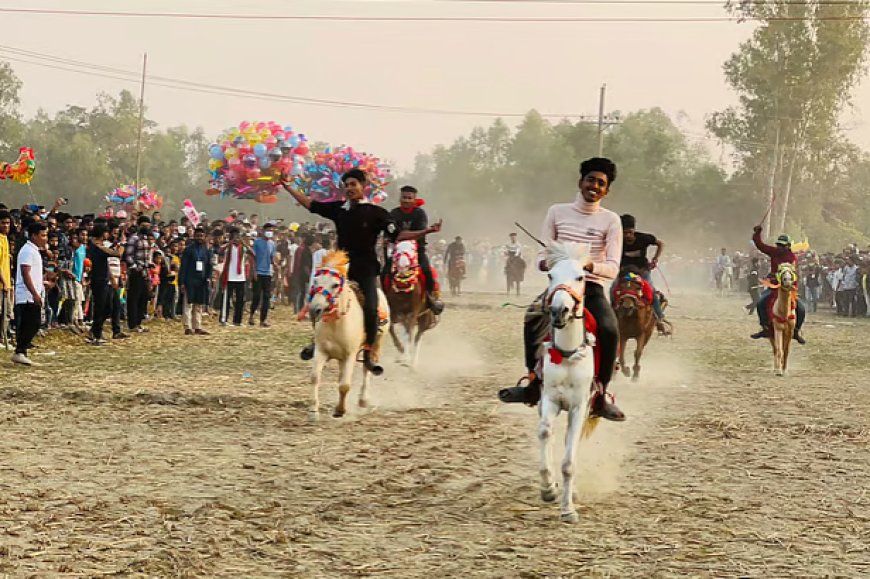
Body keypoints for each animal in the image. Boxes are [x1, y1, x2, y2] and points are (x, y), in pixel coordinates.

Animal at [304, 251, 390, 420]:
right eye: (315, 281)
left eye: (335, 285)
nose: (315, 309)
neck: (336, 323)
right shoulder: (321, 351)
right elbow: (315, 377)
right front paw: (313, 411)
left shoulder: (350, 354)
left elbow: (344, 385)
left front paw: (340, 410)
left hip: (376, 344)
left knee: (366, 368)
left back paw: (363, 400)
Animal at [388, 241, 440, 370]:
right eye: (396, 249)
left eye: (413, 249)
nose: (403, 266)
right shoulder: (396, 312)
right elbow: (394, 330)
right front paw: (402, 352)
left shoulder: (413, 312)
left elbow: (410, 334)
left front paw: (406, 358)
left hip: (424, 316)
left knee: (417, 337)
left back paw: (413, 362)